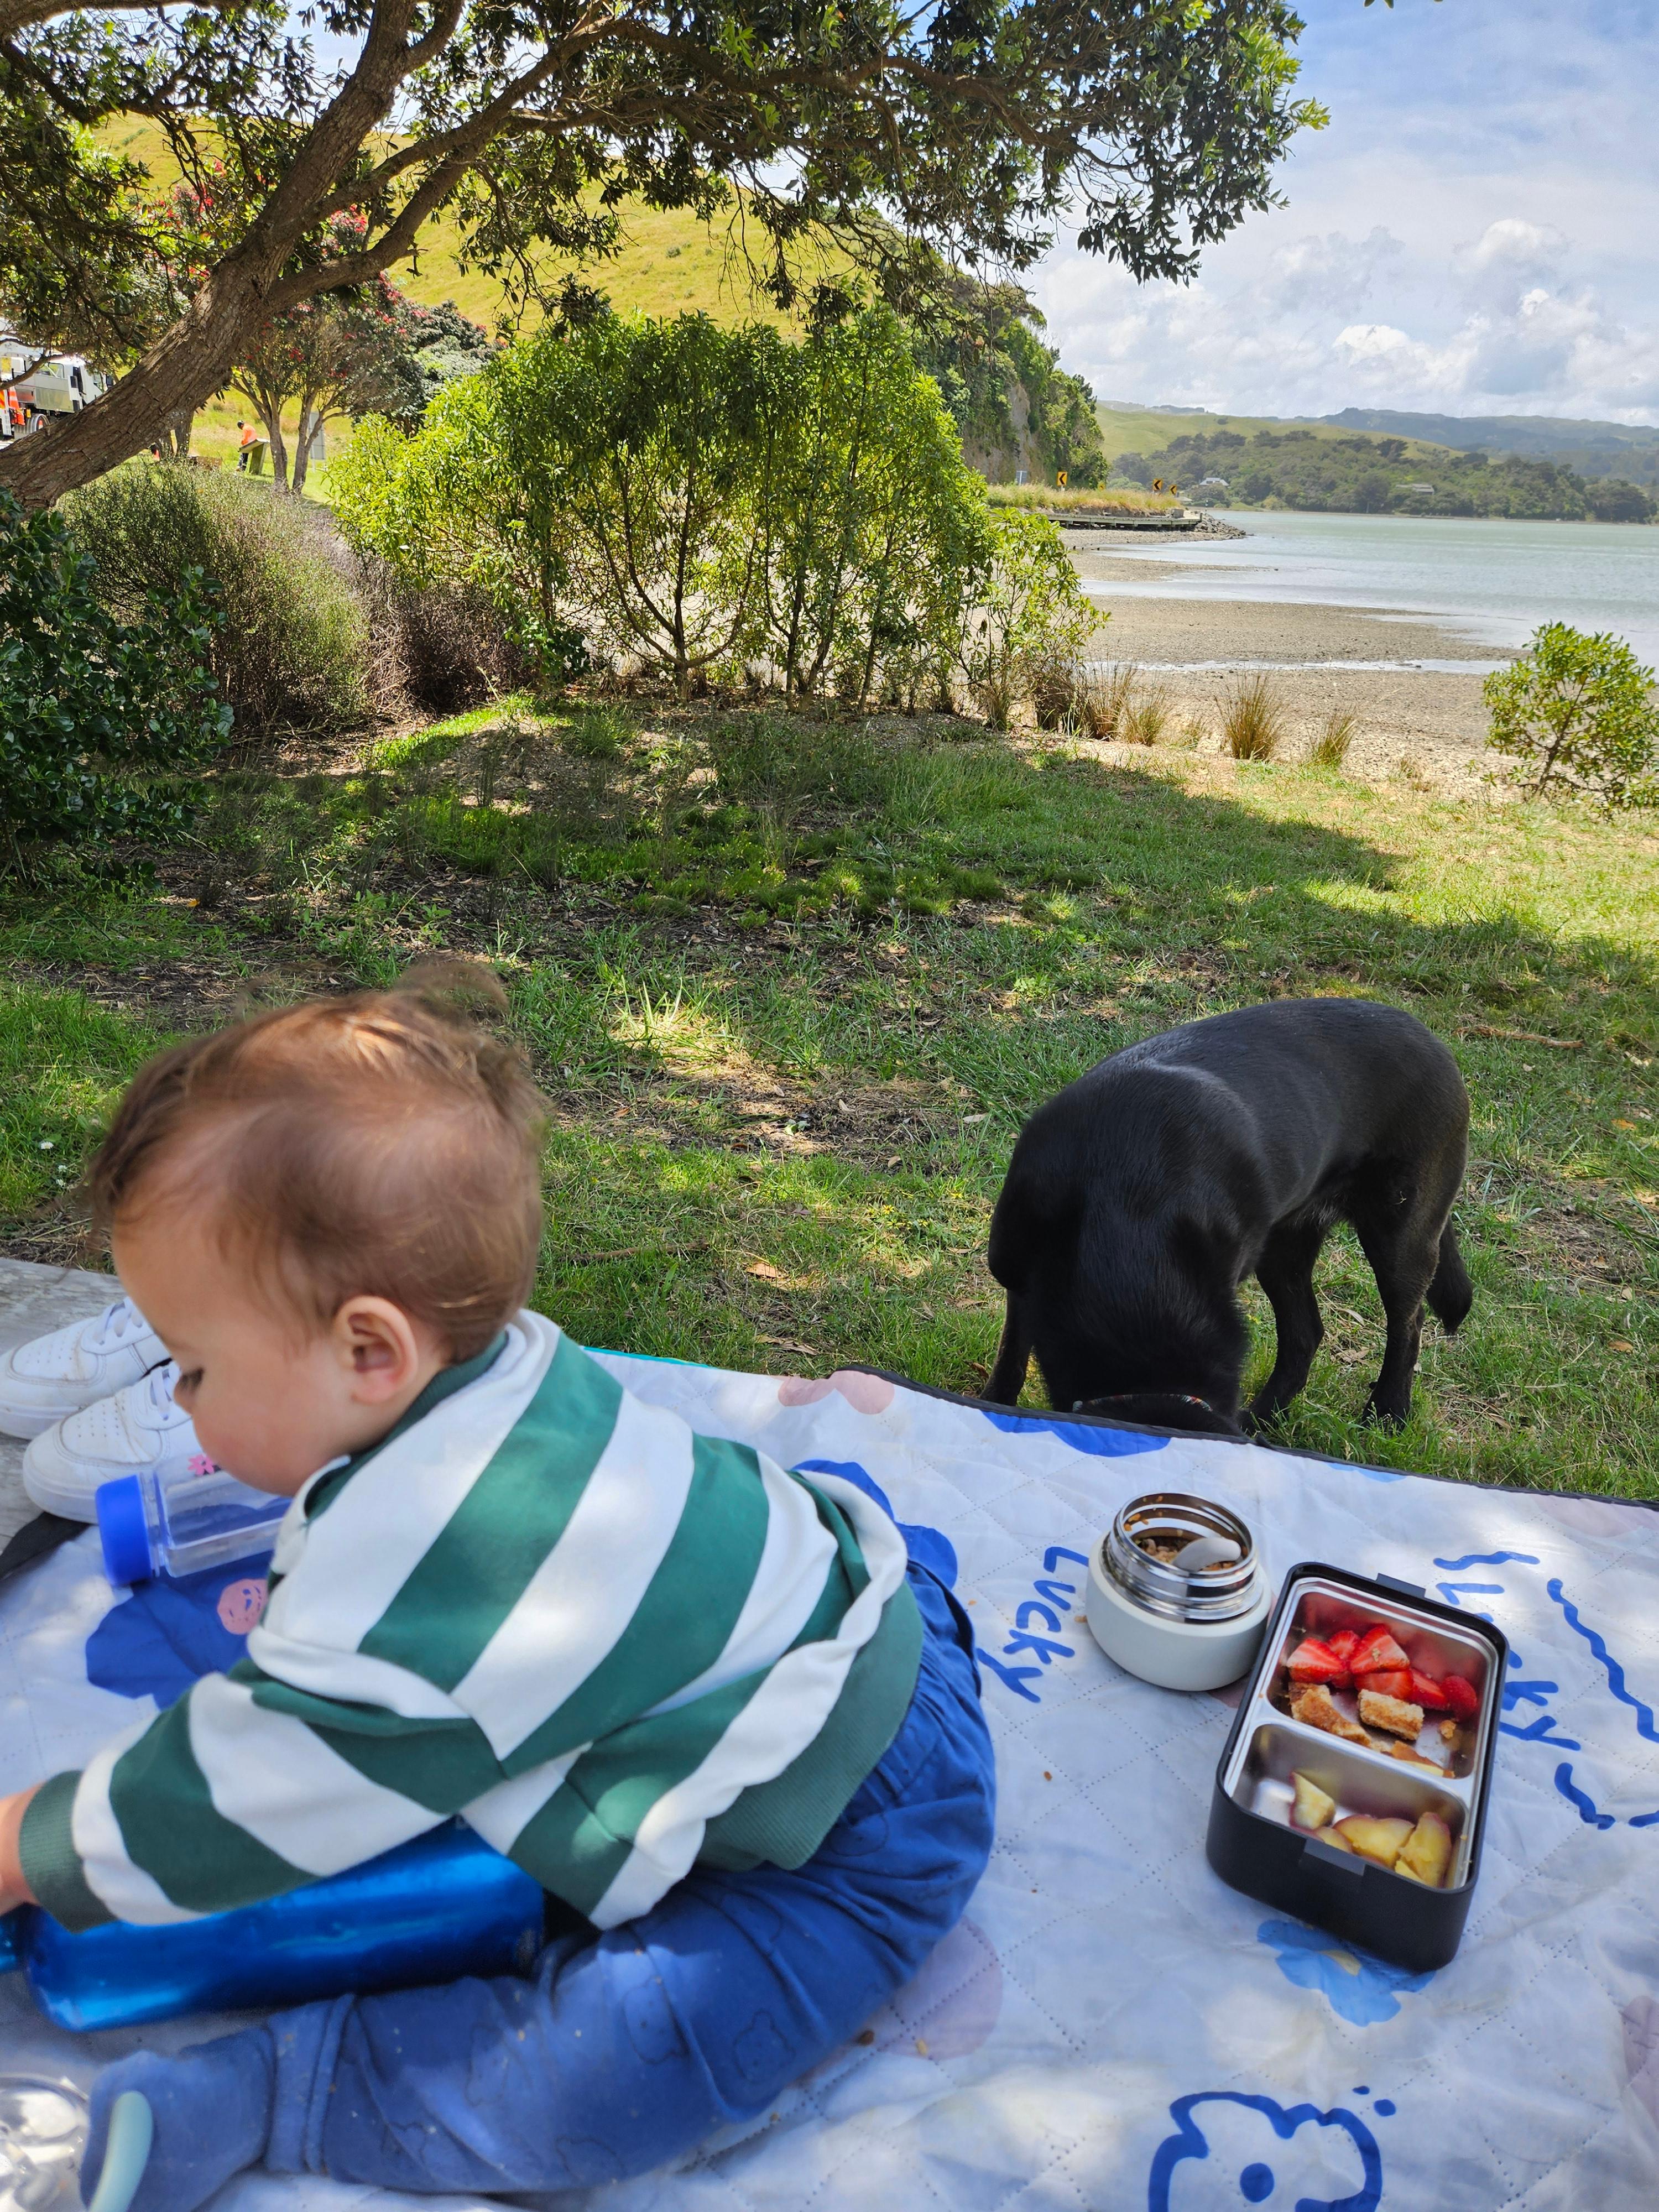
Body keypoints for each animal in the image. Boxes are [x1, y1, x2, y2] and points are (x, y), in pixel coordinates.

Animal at [985, 998, 1473, 1433]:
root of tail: (1436, 1042)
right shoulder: (1019, 1279)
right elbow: (1011, 1359)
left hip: (1401, 1232)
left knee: (1408, 1325)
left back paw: (1388, 1413)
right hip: (1284, 1248)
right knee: (1306, 1332)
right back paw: (1265, 1417)